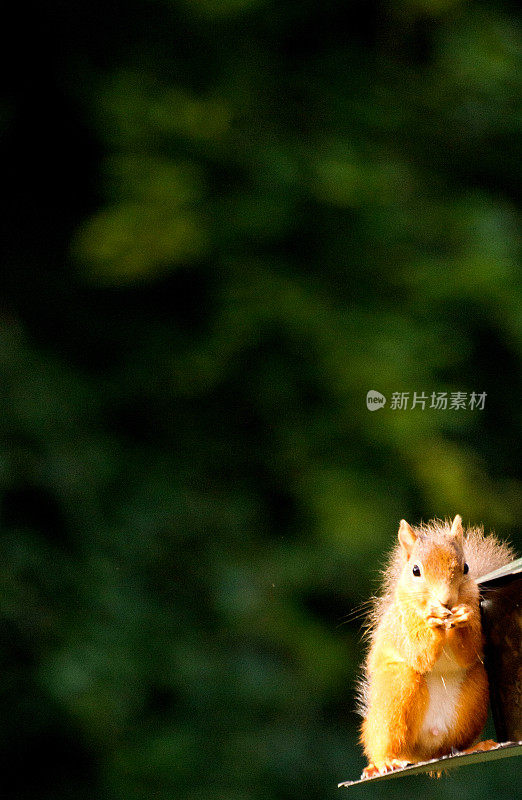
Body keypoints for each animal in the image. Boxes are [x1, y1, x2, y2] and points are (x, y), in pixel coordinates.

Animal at [358, 516, 512, 780]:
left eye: (466, 567)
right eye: (415, 570)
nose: (446, 601)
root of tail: (423, 755)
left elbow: (468, 650)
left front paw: (462, 616)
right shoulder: (401, 627)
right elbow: (420, 653)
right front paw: (433, 620)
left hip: (474, 694)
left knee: (451, 748)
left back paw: (475, 747)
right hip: (395, 693)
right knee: (386, 740)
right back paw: (383, 762)